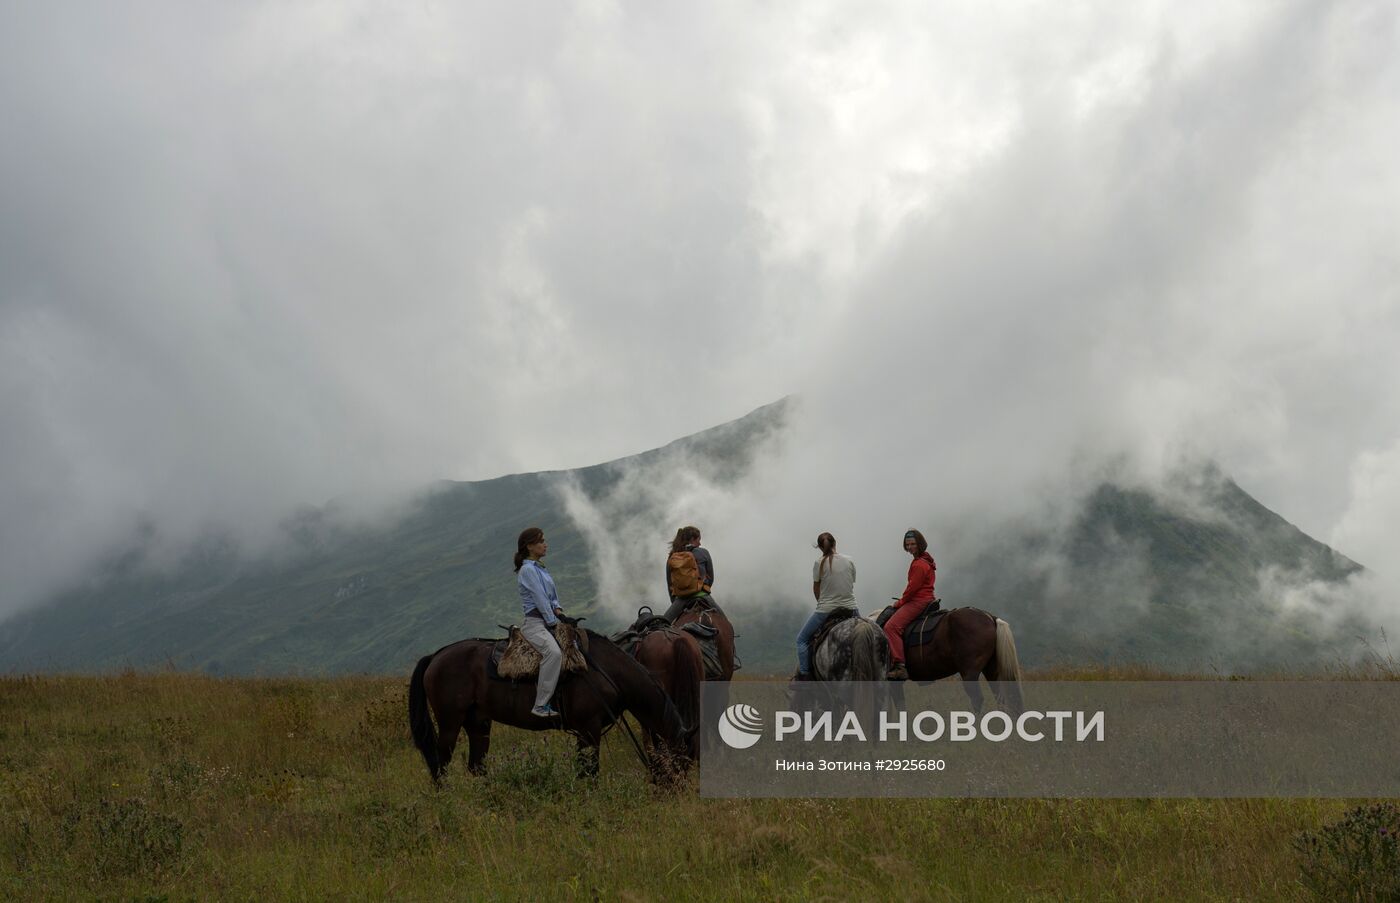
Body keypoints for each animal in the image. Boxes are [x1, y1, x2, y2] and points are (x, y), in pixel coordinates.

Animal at [408, 627, 697, 784]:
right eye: (681, 763)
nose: (679, 794)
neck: (606, 672)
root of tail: (436, 656)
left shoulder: (585, 732)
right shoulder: (588, 729)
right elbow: (590, 771)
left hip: (478, 723)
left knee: (477, 766)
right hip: (450, 723)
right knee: (441, 765)